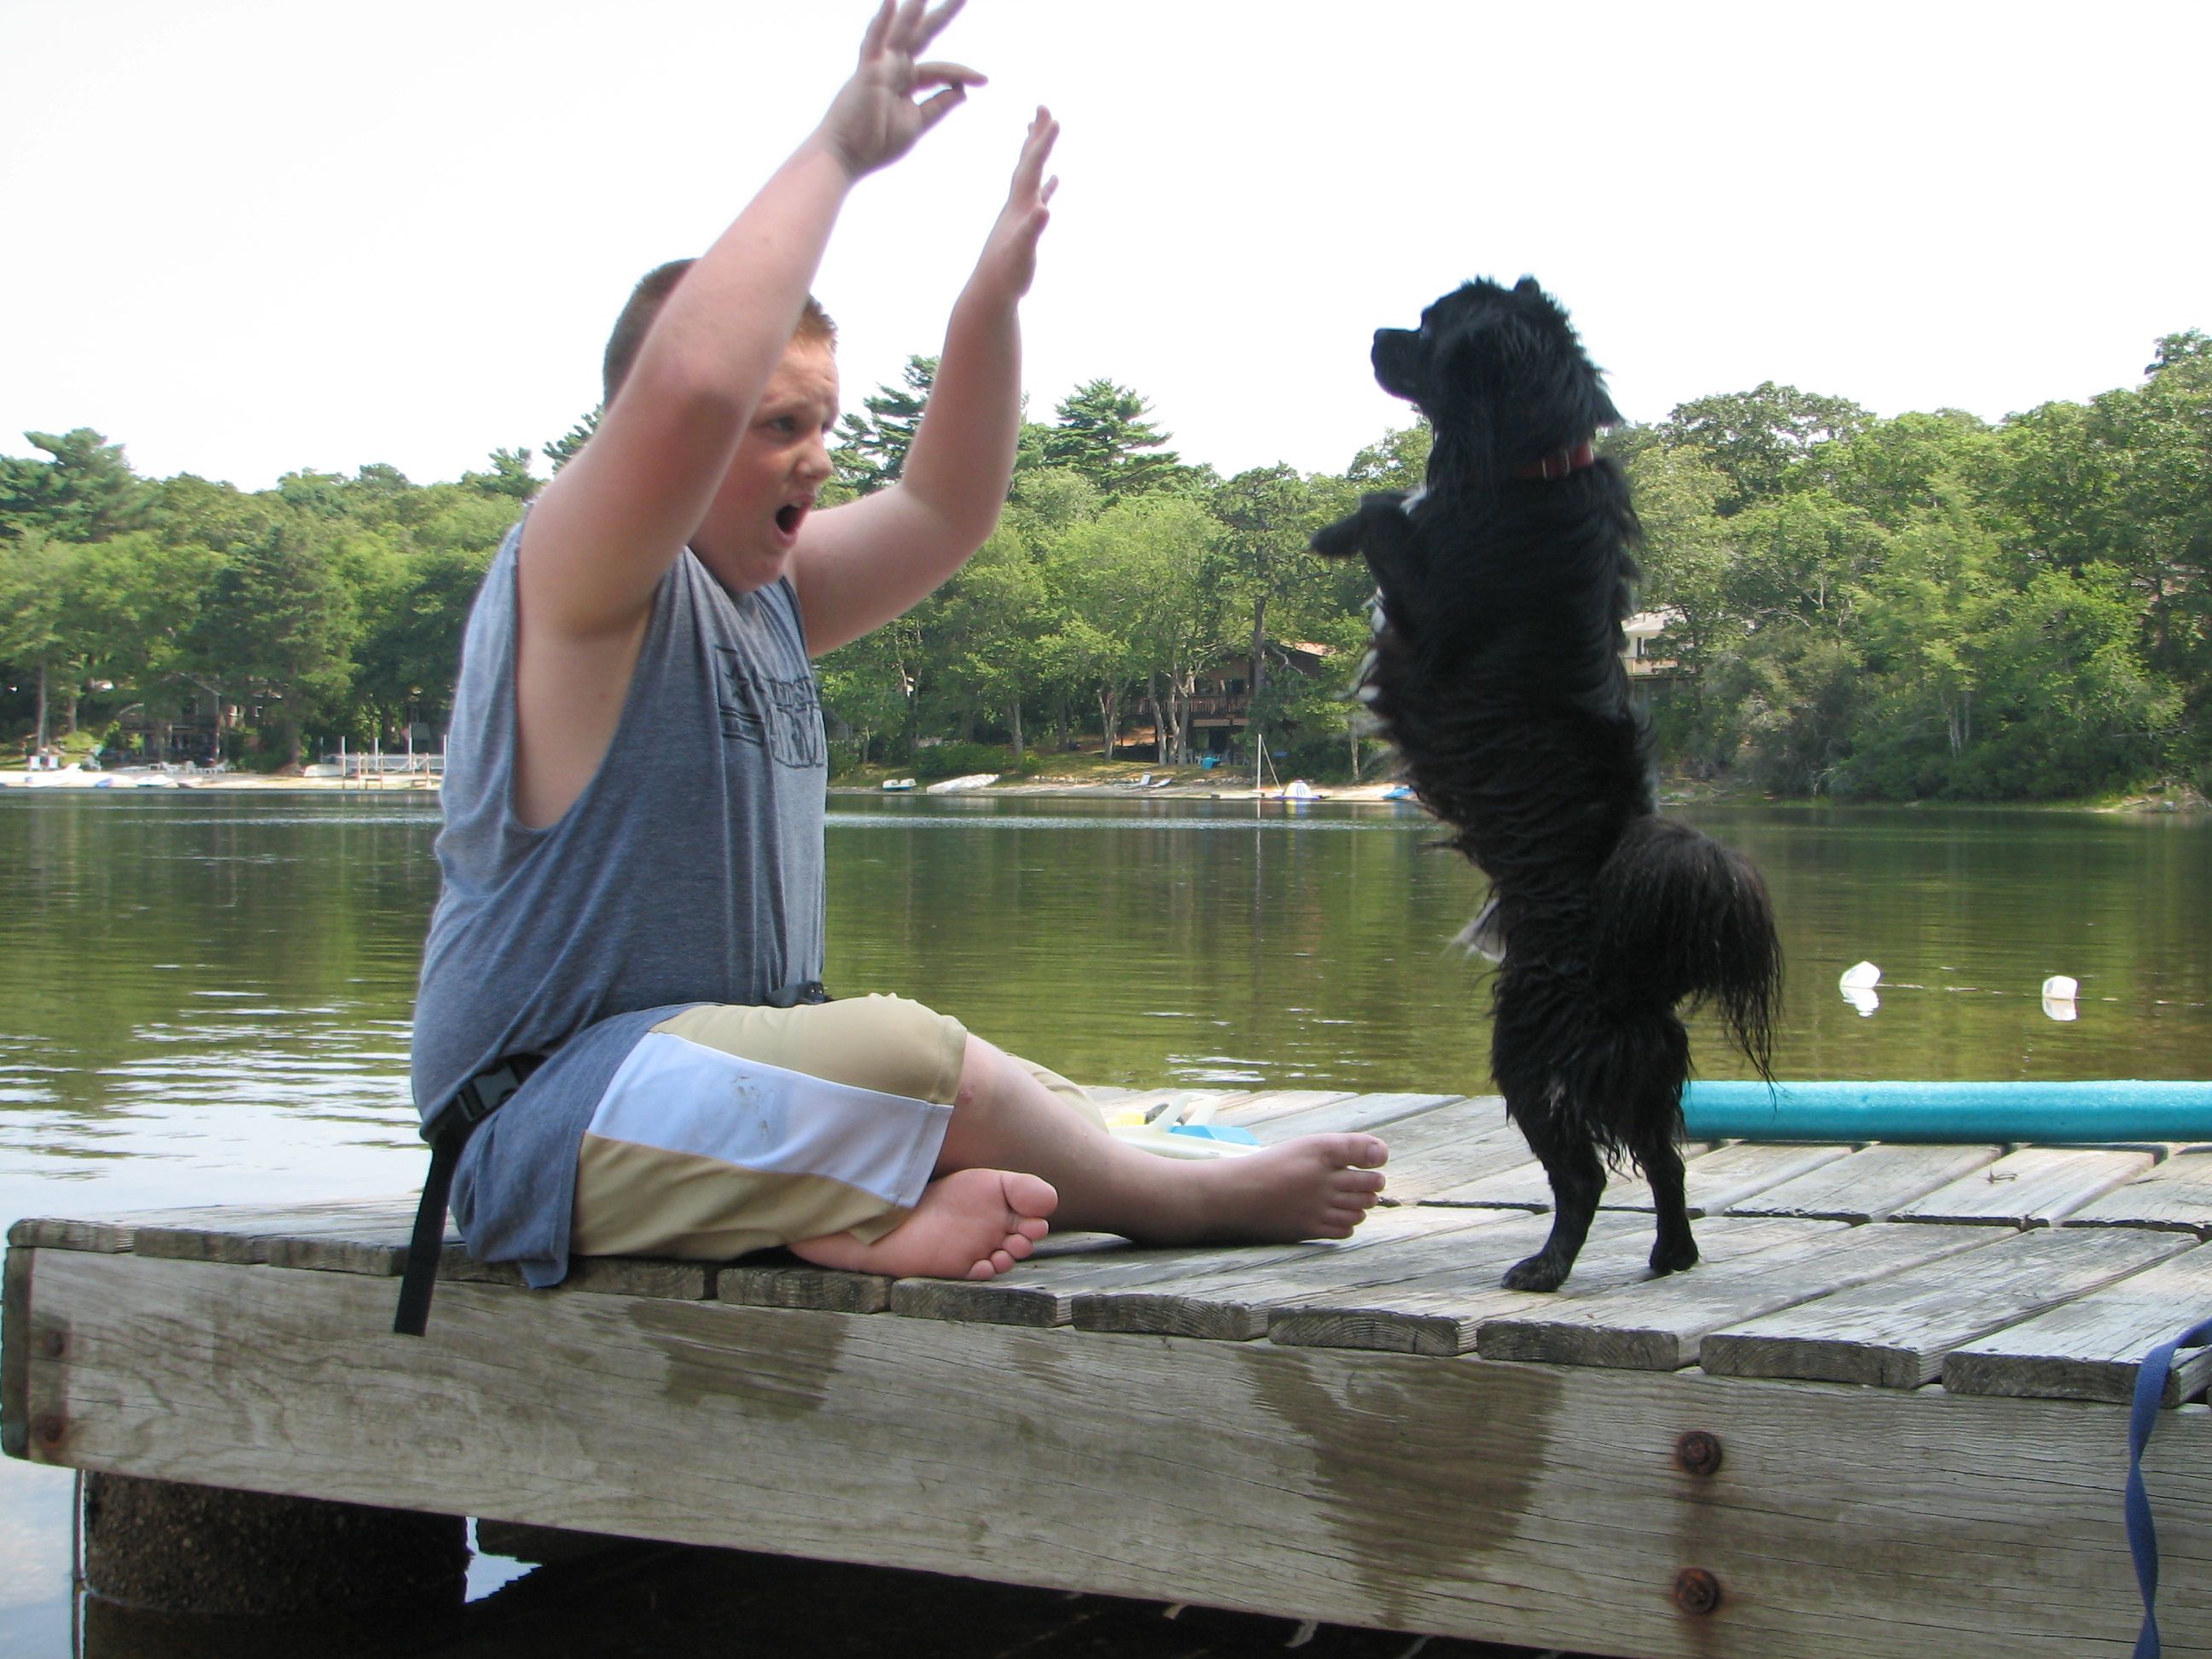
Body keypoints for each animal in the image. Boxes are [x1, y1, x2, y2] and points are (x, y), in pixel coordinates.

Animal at [1309, 276, 1778, 1301]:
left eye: (1430, 329)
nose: (1375, 334)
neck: (1529, 469)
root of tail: (1645, 953)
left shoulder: (1429, 625)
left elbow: (1382, 507)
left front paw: (1332, 529)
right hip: (1635, 1062)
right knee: (1666, 1159)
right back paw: (1670, 1254)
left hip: (1529, 1044)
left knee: (1586, 1174)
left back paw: (1546, 1266)